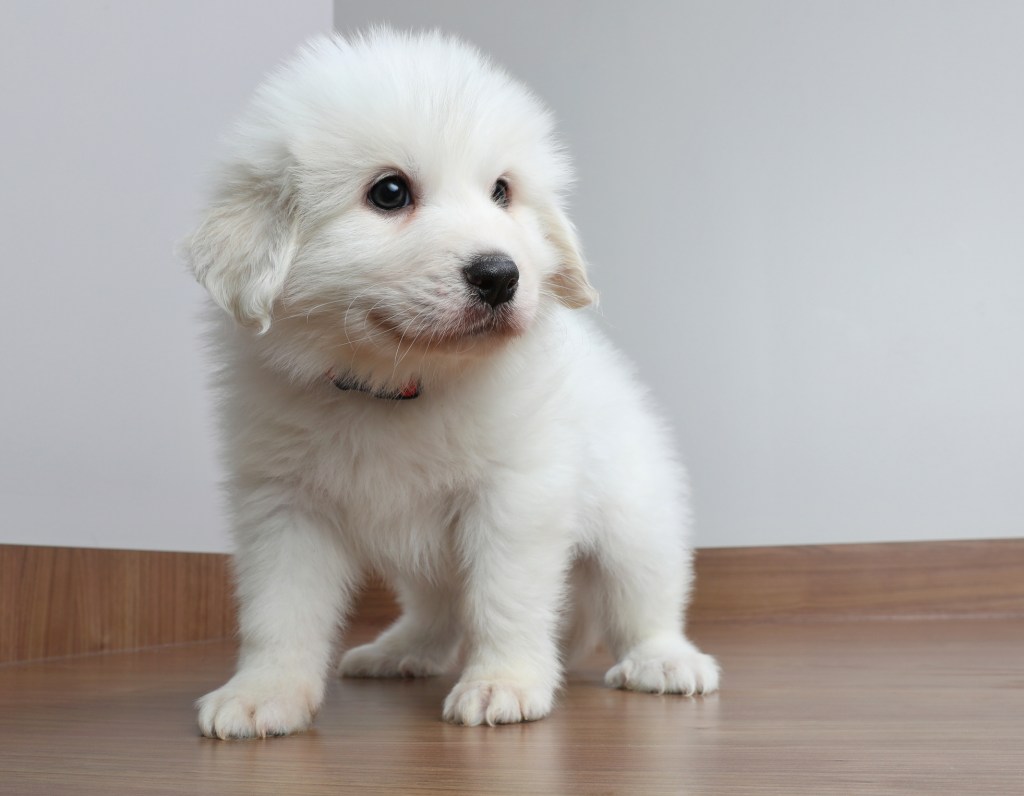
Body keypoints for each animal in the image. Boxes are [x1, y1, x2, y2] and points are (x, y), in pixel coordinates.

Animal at [190, 30, 720, 737]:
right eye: (389, 192)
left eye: (502, 191)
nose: (501, 275)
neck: (395, 386)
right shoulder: (284, 505)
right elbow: (279, 612)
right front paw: (262, 692)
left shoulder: (515, 495)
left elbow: (506, 597)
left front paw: (504, 683)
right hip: (428, 564)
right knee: (438, 610)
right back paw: (400, 650)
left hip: (637, 517)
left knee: (644, 600)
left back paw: (664, 661)